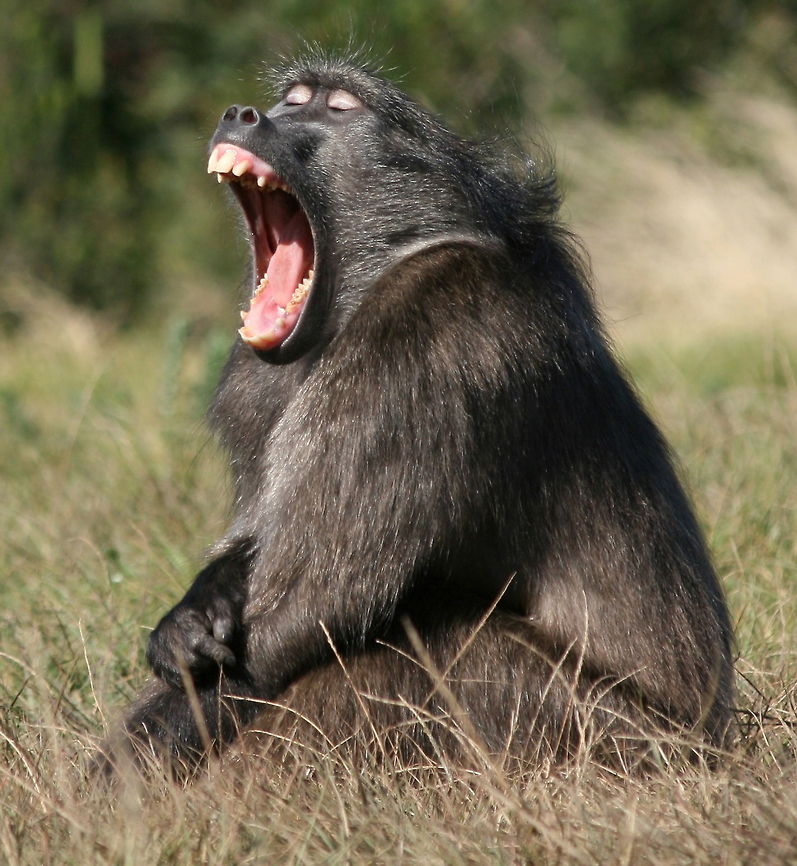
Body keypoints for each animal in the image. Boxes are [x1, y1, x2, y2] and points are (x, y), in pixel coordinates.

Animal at [108, 50, 735, 775]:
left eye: (338, 108)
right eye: (293, 98)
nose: (244, 113)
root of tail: (717, 744)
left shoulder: (425, 334)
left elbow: (309, 611)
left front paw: (122, 775)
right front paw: (193, 613)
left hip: (607, 738)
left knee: (411, 649)